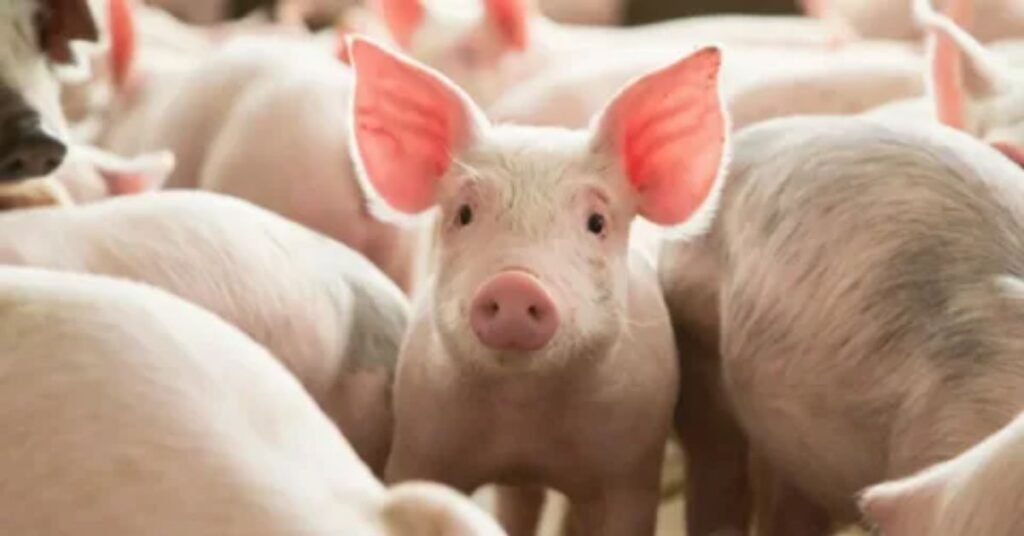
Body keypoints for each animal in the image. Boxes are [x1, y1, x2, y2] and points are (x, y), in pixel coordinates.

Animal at [345, 37, 729, 535]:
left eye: (596, 222)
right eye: (464, 213)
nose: (515, 285)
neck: (525, 414)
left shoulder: (632, 471)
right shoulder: (419, 443)